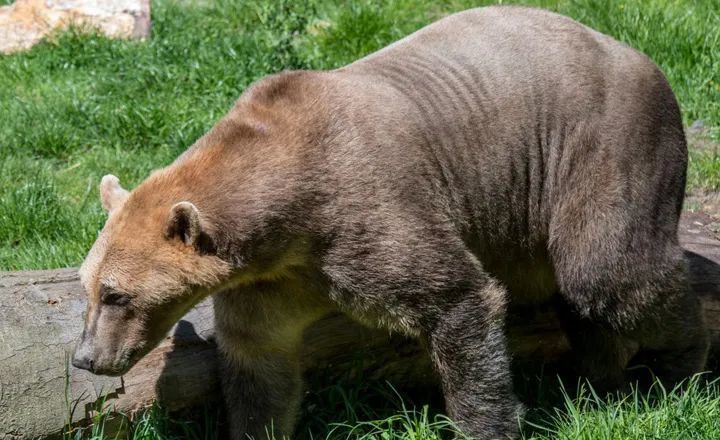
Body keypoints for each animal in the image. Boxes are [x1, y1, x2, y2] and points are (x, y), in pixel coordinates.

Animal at [71, 4, 708, 440]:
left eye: (118, 295)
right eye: (88, 287)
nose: (86, 358)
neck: (286, 215)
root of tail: (638, 55)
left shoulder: (365, 215)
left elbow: (457, 300)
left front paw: (486, 422)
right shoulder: (273, 279)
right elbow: (259, 362)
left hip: (601, 145)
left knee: (609, 272)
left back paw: (678, 368)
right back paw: (596, 374)